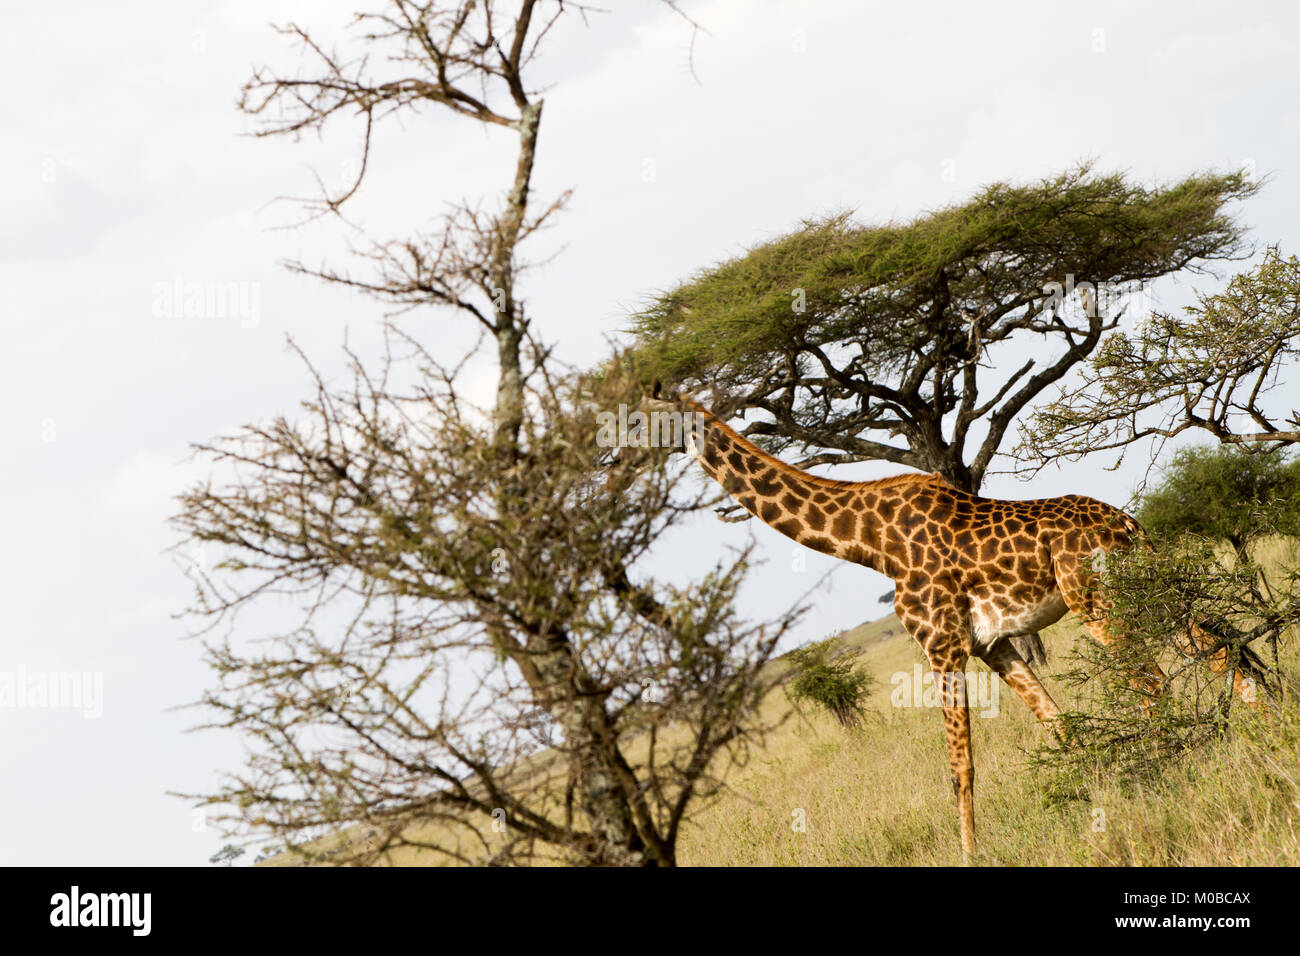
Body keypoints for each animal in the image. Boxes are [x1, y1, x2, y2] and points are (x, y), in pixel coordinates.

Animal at [655, 392, 1263, 858]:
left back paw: (1174, 760)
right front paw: (1093, 791)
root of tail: (1130, 524)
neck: (869, 542)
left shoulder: (940, 645)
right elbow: (1057, 723)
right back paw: (1254, 729)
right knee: (1215, 647)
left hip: (1096, 599)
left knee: (1153, 680)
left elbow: (959, 766)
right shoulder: (992, 645)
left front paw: (971, 854)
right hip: (1145, 586)